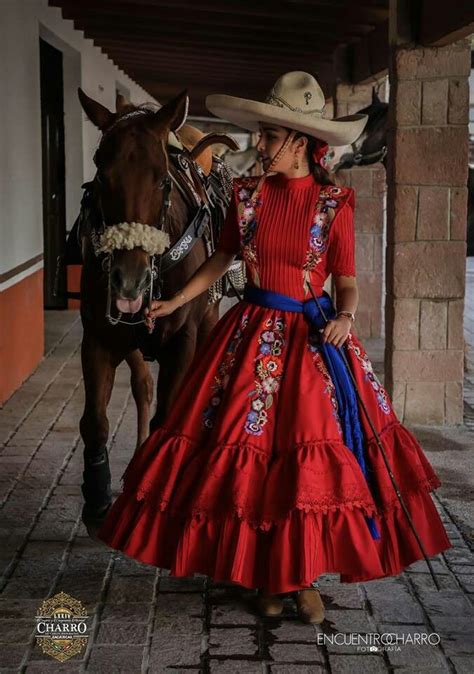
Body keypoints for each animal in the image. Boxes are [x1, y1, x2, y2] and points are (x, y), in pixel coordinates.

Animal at [77, 88, 237, 532]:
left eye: (164, 180)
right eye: (101, 176)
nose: (129, 280)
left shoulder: (182, 338)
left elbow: (170, 411)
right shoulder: (98, 337)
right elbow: (95, 421)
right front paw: (97, 496)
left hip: (207, 319)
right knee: (142, 385)